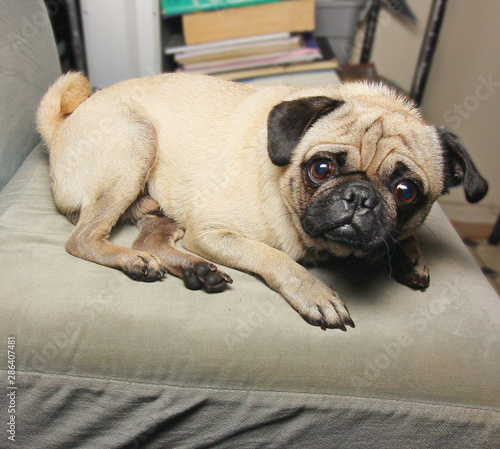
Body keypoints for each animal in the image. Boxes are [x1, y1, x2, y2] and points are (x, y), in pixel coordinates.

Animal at [36, 72, 488, 330]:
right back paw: (137, 262)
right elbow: (276, 258)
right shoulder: (212, 232)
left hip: (161, 209)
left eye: (405, 191)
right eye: (321, 168)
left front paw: (410, 255)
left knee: (150, 240)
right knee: (83, 240)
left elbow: (401, 236)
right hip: (136, 143)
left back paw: (196, 270)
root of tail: (60, 128)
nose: (360, 197)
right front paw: (315, 293)